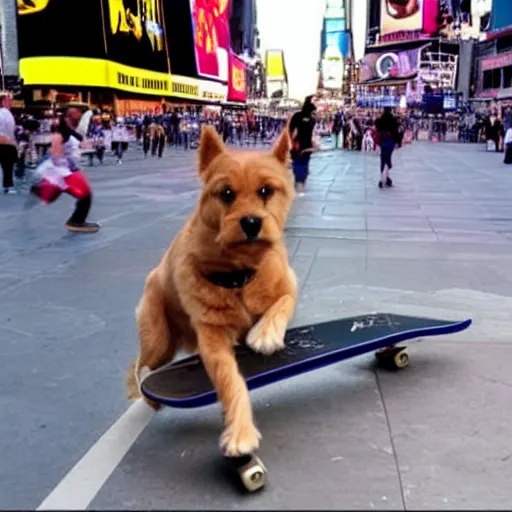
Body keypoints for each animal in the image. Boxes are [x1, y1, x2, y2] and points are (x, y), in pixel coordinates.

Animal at [125, 124, 298, 456]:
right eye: (226, 193)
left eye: (266, 191)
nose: (251, 222)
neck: (240, 275)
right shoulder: (213, 340)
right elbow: (231, 382)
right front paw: (241, 432)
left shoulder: (288, 284)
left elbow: (283, 302)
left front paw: (266, 333)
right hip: (158, 340)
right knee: (139, 366)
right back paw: (145, 394)